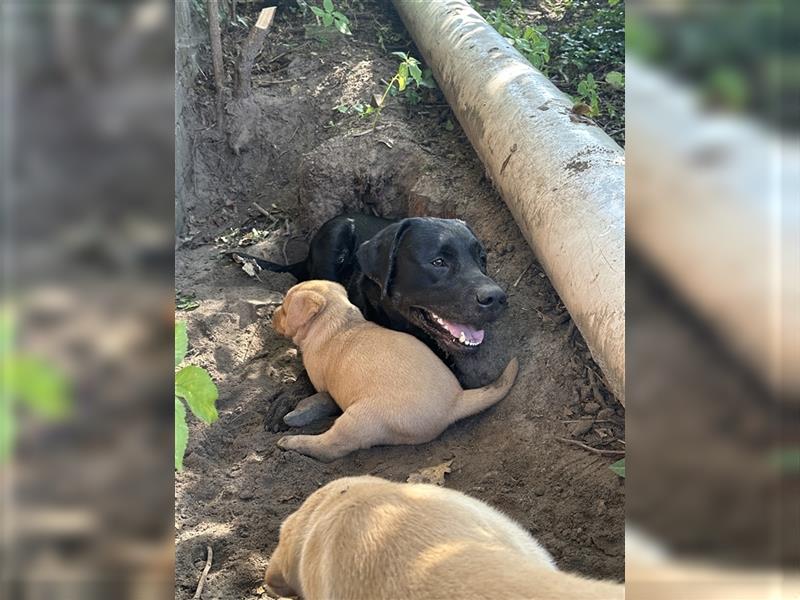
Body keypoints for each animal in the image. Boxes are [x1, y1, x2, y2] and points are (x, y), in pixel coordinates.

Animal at [270, 278, 520, 462]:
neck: (338, 321)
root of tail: (457, 401)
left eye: (285, 309)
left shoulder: (320, 383)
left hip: (361, 418)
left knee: (331, 447)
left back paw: (293, 443)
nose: (271, 315)